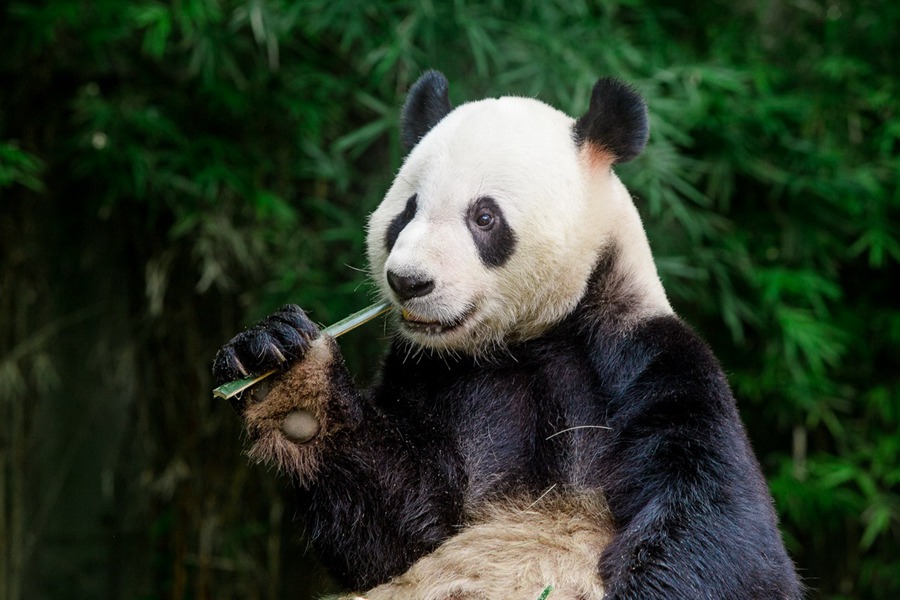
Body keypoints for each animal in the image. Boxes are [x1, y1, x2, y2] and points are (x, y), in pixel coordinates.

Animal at [213, 71, 800, 600]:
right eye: (406, 211)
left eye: (484, 217)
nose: (408, 282)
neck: (527, 339)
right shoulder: (435, 373)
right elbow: (397, 533)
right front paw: (284, 376)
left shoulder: (646, 359)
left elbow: (723, 533)